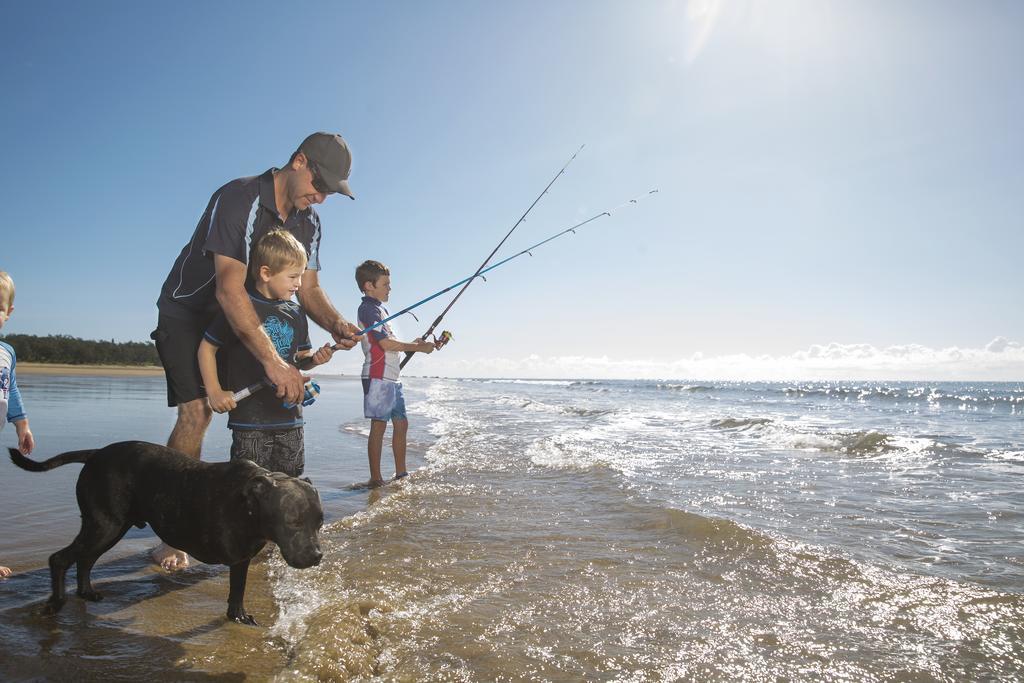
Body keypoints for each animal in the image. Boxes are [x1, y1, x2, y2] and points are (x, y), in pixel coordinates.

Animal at [7, 444, 319, 626]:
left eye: (318, 523)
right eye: (292, 522)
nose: (317, 555)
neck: (251, 502)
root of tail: (95, 453)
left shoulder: (241, 559)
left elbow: (237, 592)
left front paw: (237, 616)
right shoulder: (238, 557)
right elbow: (237, 588)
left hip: (109, 528)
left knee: (85, 560)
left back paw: (87, 593)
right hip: (104, 526)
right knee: (60, 559)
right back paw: (54, 605)